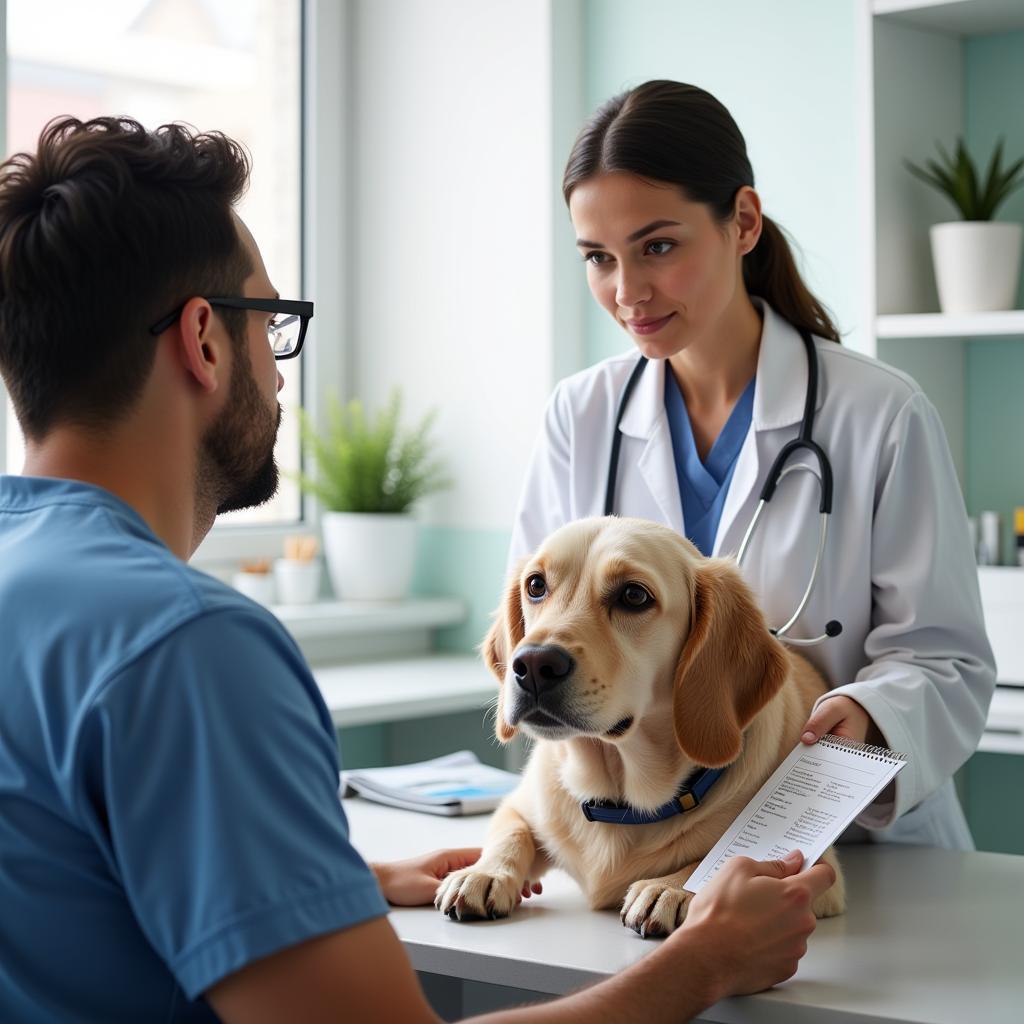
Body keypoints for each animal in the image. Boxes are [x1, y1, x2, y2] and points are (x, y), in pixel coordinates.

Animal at [436, 516, 843, 933]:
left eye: (634, 596)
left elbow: (720, 859)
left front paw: (671, 889)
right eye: (535, 585)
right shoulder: (518, 806)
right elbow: (510, 833)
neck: (620, 799)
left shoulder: (822, 871)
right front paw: (484, 873)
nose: (532, 664)